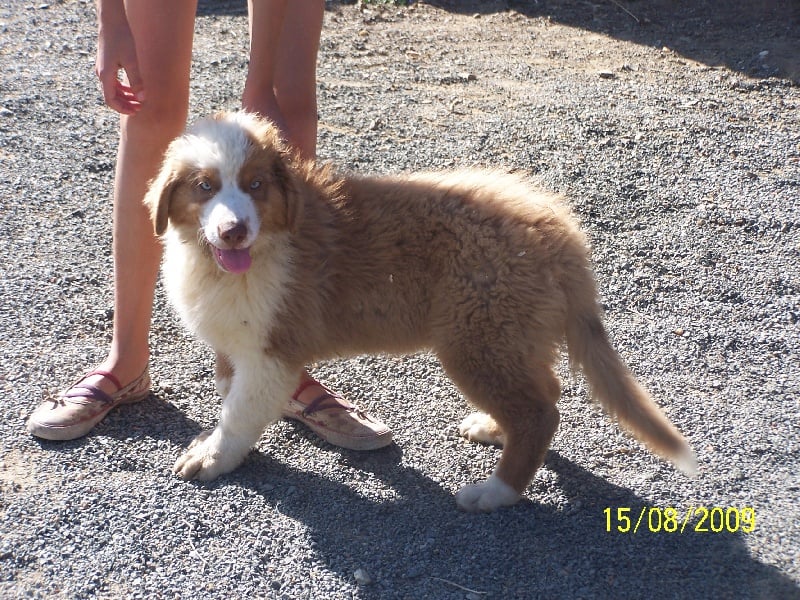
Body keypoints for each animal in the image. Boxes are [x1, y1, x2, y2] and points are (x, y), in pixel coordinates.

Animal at [147, 111, 696, 510]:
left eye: (256, 185)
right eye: (204, 187)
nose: (233, 230)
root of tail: (557, 230)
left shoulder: (271, 353)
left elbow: (238, 414)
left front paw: (212, 457)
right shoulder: (234, 345)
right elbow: (230, 395)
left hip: (476, 337)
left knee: (539, 412)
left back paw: (495, 493)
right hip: (510, 334)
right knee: (545, 392)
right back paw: (494, 427)